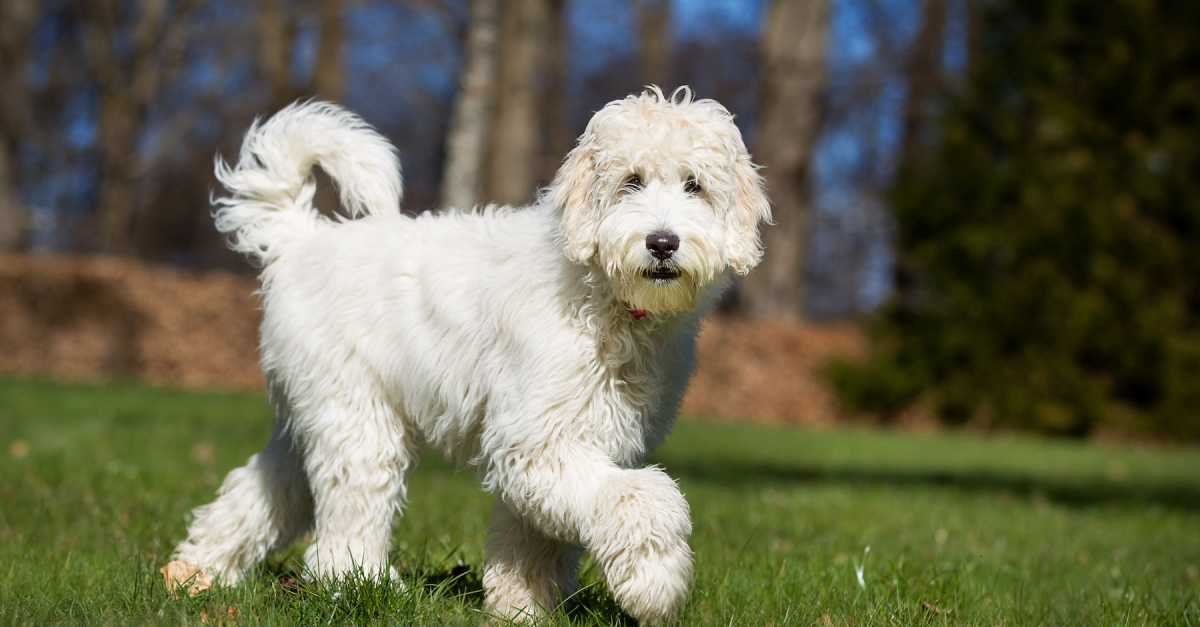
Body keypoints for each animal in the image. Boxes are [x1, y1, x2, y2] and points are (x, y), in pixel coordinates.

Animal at [171, 85, 768, 619]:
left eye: (694, 186)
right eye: (631, 182)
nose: (662, 243)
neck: (601, 298)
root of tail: (303, 240)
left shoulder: (577, 440)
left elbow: (534, 535)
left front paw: (522, 606)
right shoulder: (537, 440)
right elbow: (641, 498)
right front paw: (655, 584)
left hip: (313, 417)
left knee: (264, 490)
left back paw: (196, 572)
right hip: (359, 423)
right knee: (346, 521)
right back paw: (364, 585)